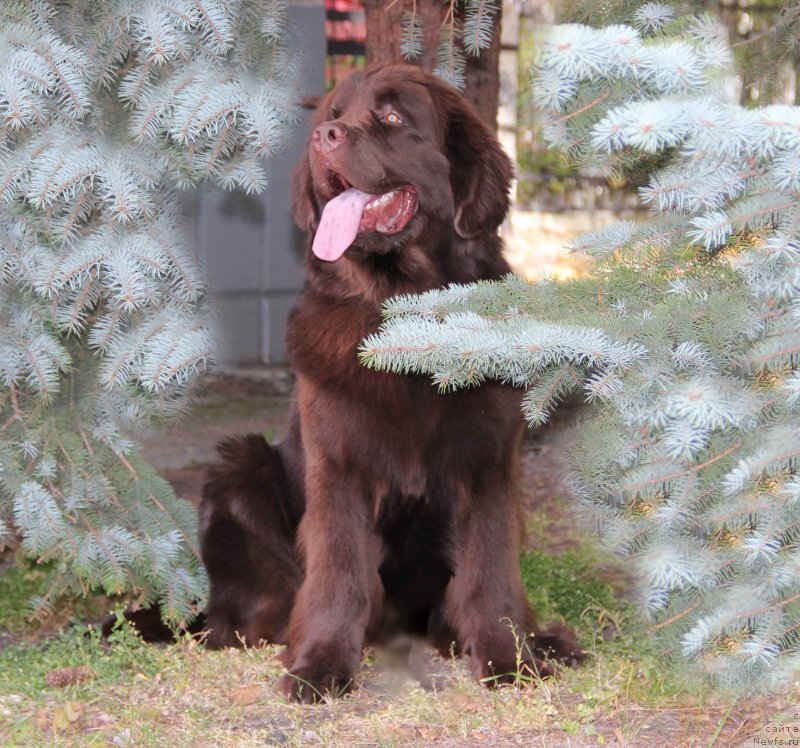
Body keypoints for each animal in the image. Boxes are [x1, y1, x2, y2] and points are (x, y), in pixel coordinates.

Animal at [197, 64, 580, 700]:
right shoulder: (339, 471)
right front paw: (319, 665)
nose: (323, 136)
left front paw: (508, 660)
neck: (404, 317)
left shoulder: (490, 469)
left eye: (393, 117)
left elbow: (492, 573)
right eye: (333, 112)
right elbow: (340, 572)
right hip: (239, 465)